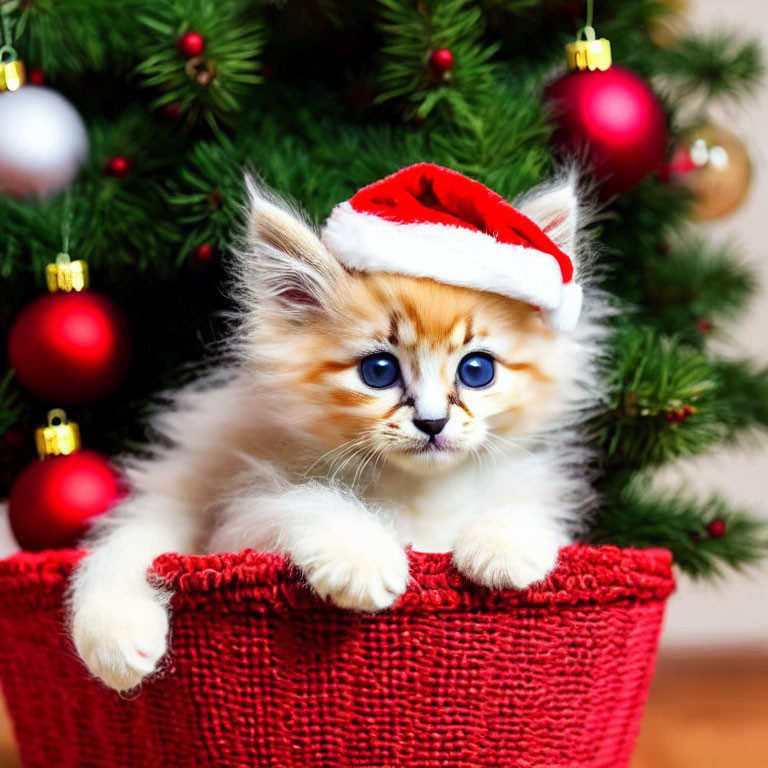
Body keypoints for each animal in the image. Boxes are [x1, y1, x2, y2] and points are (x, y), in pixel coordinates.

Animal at [69, 177, 600, 692]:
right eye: (380, 371)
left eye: (476, 371)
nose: (432, 423)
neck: (415, 493)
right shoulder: (241, 518)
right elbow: (304, 499)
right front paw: (359, 556)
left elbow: (524, 503)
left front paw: (505, 544)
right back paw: (116, 639)